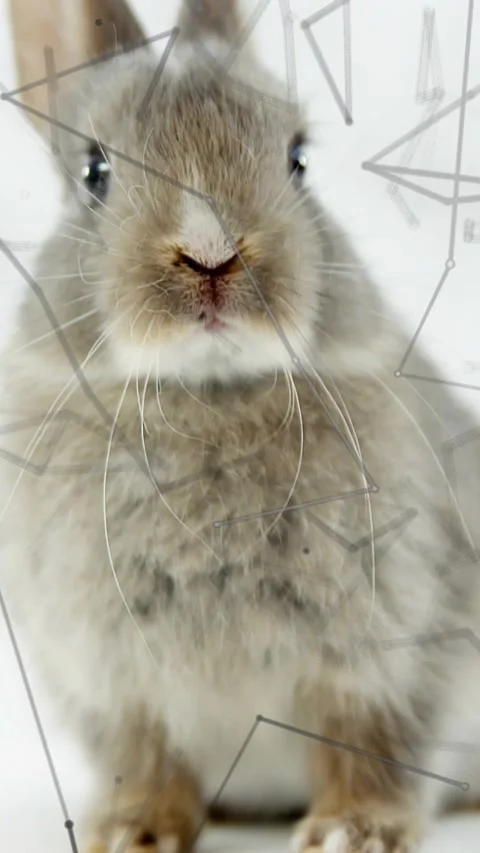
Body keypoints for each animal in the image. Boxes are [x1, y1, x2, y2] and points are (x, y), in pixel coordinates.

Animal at [1, 0, 480, 851]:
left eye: (297, 160)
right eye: (95, 173)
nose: (212, 255)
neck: (205, 393)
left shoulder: (391, 655)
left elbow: (372, 745)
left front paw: (351, 830)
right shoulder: (115, 686)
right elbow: (148, 758)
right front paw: (131, 829)